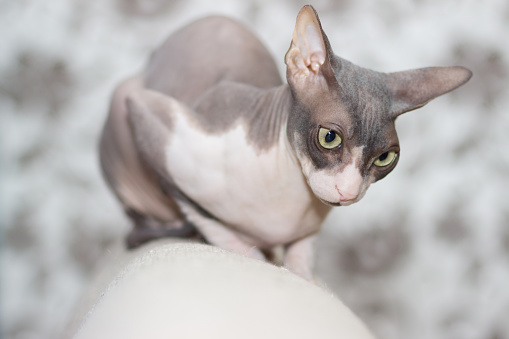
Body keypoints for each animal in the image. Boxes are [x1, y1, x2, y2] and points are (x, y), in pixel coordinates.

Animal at [100, 5, 472, 280]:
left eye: (385, 158)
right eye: (329, 137)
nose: (349, 192)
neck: (290, 194)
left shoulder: (310, 227)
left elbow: (302, 255)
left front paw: (298, 272)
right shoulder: (153, 124)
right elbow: (202, 216)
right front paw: (251, 252)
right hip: (124, 103)